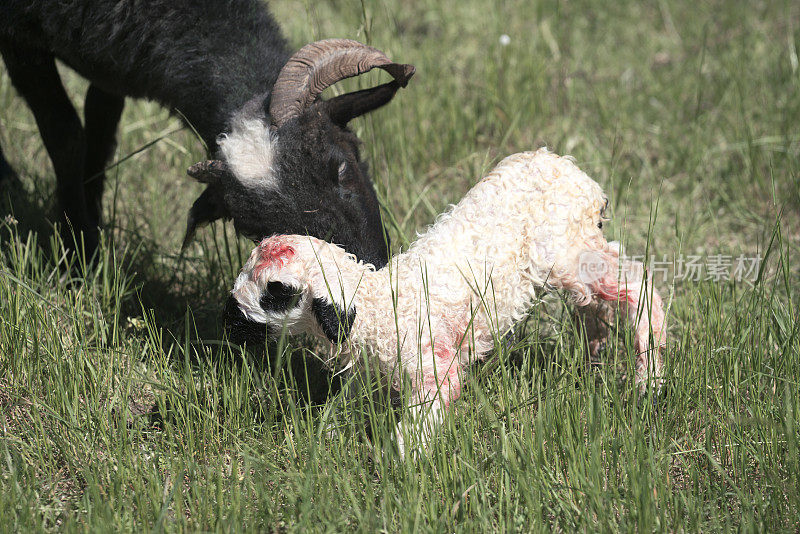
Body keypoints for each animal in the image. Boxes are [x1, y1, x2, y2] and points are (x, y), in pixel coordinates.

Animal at [227, 149, 668, 454]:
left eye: (276, 290)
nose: (231, 321)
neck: (378, 305)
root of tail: (578, 175)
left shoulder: (433, 363)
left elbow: (417, 427)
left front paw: (400, 472)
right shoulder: (369, 371)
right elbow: (341, 407)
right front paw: (324, 439)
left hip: (569, 253)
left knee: (636, 282)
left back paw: (649, 380)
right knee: (595, 302)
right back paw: (596, 354)